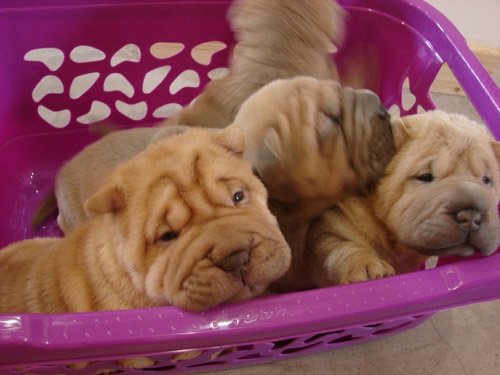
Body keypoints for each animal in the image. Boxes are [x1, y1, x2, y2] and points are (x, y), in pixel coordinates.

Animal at [306, 110, 500, 290]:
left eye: (486, 180)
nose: (471, 216)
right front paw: (367, 268)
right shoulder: (327, 230)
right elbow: (344, 247)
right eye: (425, 177)